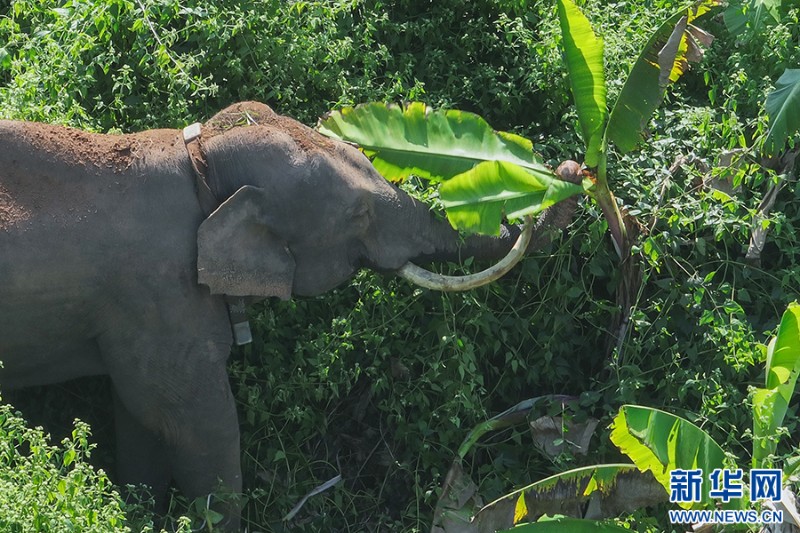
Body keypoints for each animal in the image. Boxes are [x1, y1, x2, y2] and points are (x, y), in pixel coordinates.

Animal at [0, 101, 580, 528]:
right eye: (359, 213)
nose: (568, 172)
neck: (200, 162)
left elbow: (140, 420)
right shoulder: (160, 297)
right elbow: (199, 425)